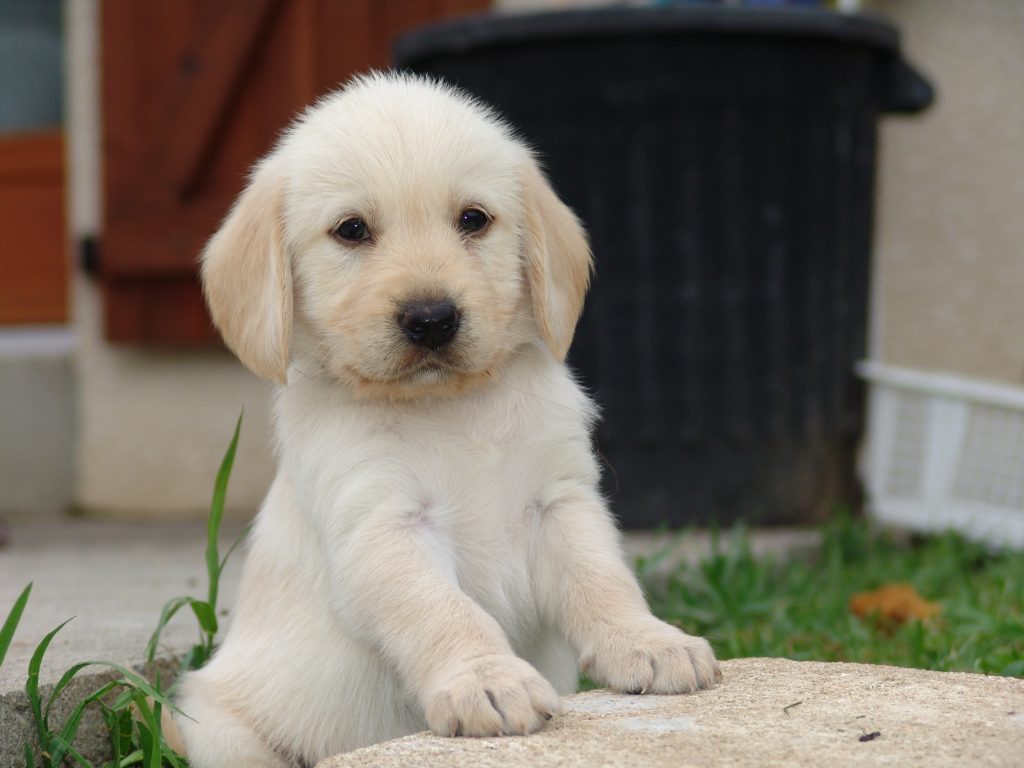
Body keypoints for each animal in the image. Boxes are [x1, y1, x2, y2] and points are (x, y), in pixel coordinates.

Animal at [178, 73, 720, 768]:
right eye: (351, 230)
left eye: (473, 219)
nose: (432, 318)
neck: (451, 407)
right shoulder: (383, 528)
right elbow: (446, 612)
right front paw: (486, 681)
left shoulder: (560, 501)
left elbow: (603, 579)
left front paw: (649, 642)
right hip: (220, 732)